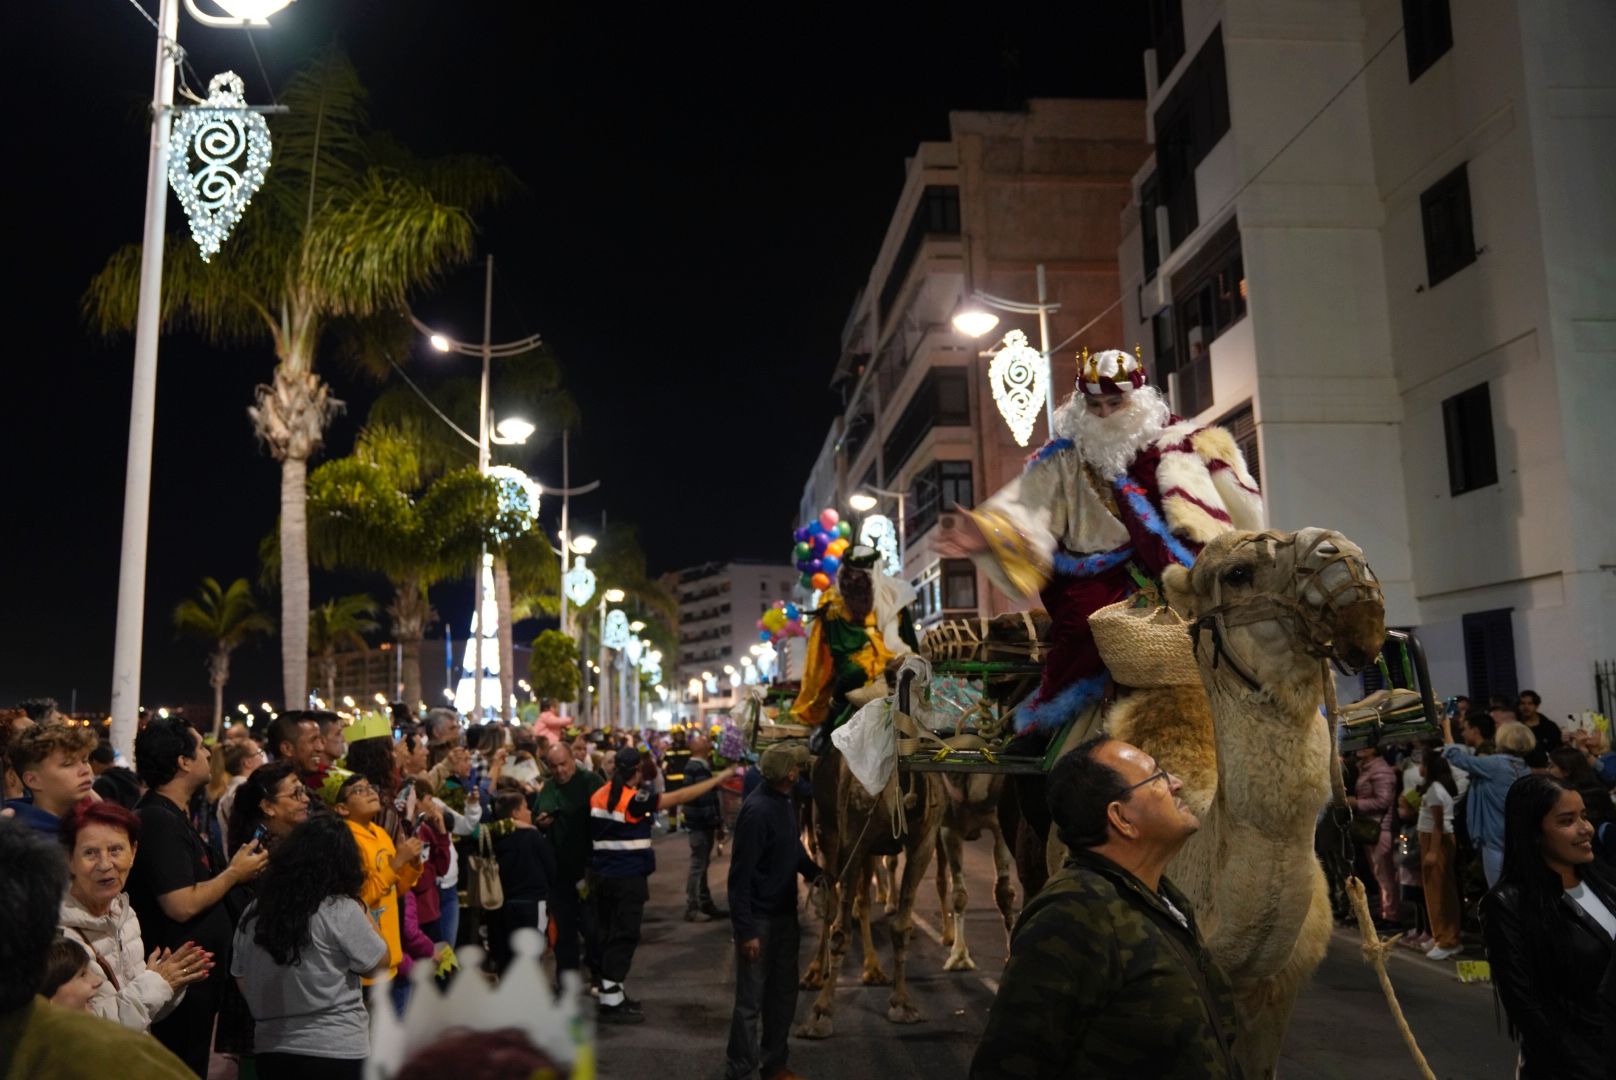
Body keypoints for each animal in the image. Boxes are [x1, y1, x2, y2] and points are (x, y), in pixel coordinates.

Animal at [930, 772, 1014, 976]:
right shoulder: (949, 829)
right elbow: (959, 895)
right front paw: (959, 957)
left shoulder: (999, 827)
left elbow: (1004, 892)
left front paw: (1010, 953)